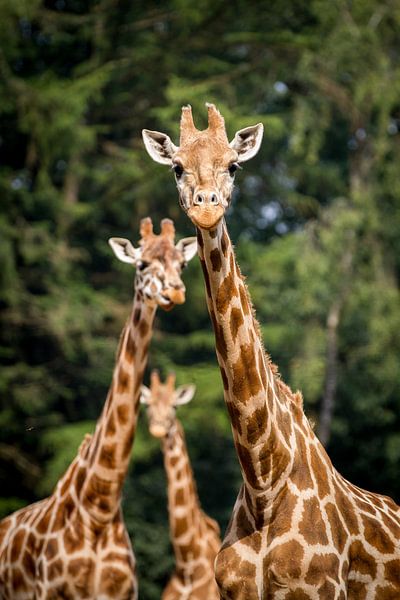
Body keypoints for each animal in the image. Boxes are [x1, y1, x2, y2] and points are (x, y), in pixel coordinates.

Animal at [0, 217, 197, 600]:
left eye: (181, 264)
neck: (98, 507)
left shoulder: (122, 593)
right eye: (141, 264)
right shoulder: (49, 592)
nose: (175, 293)